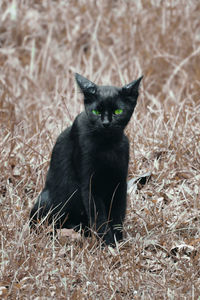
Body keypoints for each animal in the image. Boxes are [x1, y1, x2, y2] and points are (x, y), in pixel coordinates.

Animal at [29, 73, 142, 246]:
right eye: (96, 111)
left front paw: (118, 241)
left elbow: (117, 213)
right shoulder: (90, 185)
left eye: (118, 111)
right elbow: (100, 217)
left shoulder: (119, 182)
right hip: (46, 200)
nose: (106, 123)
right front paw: (107, 244)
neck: (107, 146)